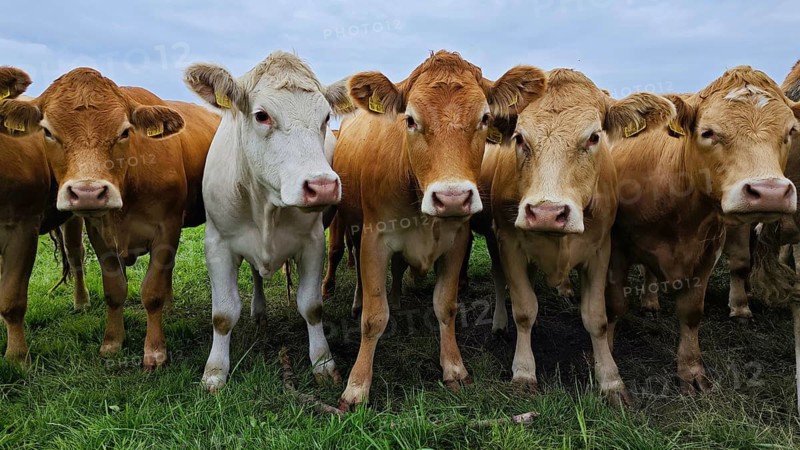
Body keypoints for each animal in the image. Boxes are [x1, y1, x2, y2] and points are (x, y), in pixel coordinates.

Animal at [0, 68, 220, 368]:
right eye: (47, 132)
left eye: (125, 131)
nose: (88, 193)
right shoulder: (98, 233)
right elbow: (114, 290)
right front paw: (113, 342)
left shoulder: (167, 227)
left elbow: (152, 292)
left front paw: (155, 351)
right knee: (76, 255)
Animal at [183, 51, 350, 392]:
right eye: (262, 115)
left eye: (326, 117)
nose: (323, 186)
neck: (267, 206)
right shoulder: (217, 244)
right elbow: (222, 314)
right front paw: (215, 371)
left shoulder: (313, 243)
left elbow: (312, 307)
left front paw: (323, 362)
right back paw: (258, 312)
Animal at [331, 50, 547, 409]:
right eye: (410, 120)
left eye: (484, 118)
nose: (452, 197)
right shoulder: (375, 240)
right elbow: (374, 317)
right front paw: (357, 386)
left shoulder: (457, 240)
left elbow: (446, 305)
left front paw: (454, 368)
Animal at [470, 69, 675, 405]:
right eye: (520, 138)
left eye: (593, 137)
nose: (547, 212)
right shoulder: (509, 244)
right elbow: (524, 309)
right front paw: (524, 372)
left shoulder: (600, 250)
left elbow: (597, 318)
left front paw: (610, 380)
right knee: (500, 278)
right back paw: (500, 322)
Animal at [606, 66, 800, 394]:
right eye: (708, 132)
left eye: (790, 132)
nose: (770, 192)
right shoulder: (616, 249)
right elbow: (613, 307)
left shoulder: (708, 251)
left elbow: (692, 312)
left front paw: (691, 371)